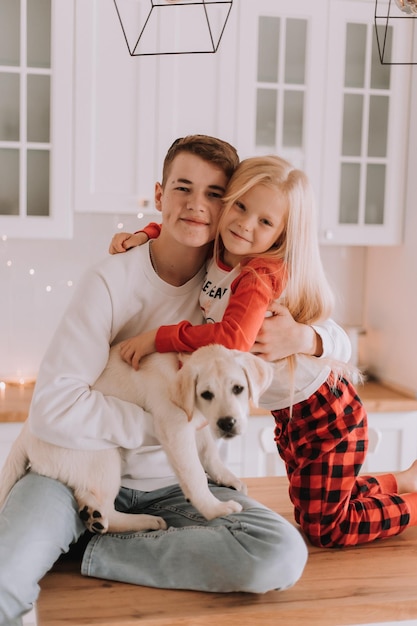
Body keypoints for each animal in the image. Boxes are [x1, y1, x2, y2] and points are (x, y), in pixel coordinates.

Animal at [0, 346, 272, 532]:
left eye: (238, 389)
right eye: (206, 394)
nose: (227, 424)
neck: (179, 365)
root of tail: (24, 435)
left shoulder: (198, 423)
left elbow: (209, 453)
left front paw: (227, 477)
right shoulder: (175, 428)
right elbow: (195, 475)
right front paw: (215, 510)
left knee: (89, 497)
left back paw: (92, 516)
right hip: (104, 455)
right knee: (109, 509)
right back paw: (145, 521)